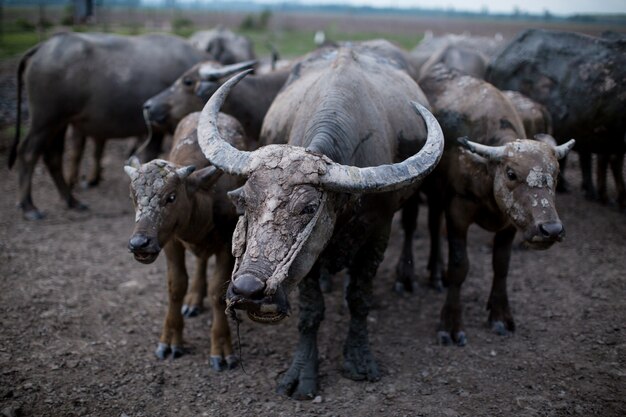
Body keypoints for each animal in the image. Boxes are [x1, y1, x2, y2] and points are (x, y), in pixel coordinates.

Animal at [9, 31, 208, 221]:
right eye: (188, 82)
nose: (149, 106)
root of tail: (43, 46)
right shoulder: (157, 130)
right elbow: (151, 155)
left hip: (60, 123)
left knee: (53, 157)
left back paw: (72, 200)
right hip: (44, 120)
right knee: (28, 153)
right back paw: (29, 207)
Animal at [195, 42, 444, 396]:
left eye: (309, 208)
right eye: (246, 202)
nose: (247, 289)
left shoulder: (378, 232)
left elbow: (359, 298)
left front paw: (359, 360)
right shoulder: (309, 257)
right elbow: (312, 310)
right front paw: (302, 373)